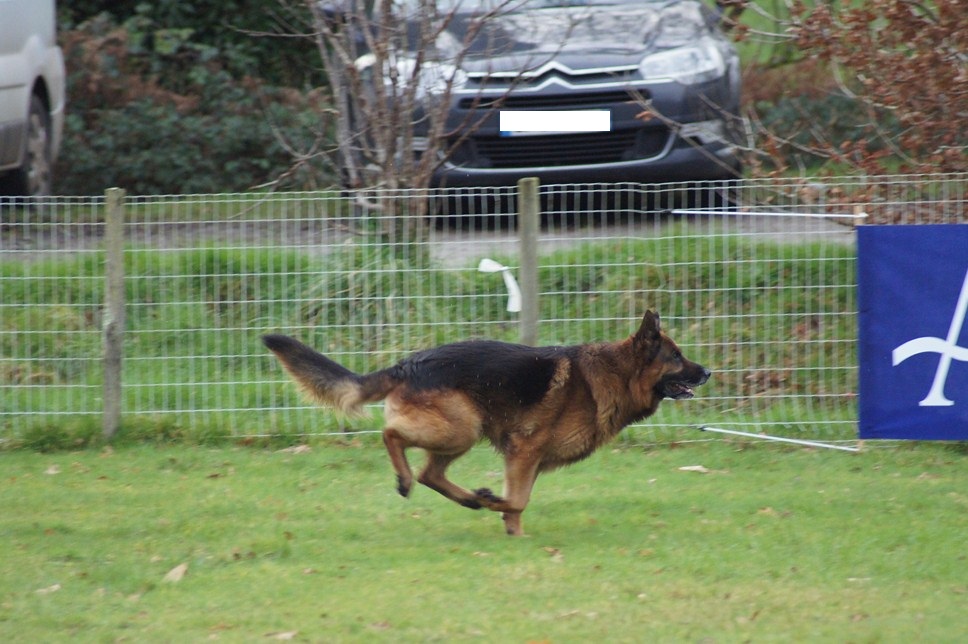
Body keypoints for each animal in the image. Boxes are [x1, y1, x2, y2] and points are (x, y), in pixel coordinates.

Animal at [260, 310, 708, 536]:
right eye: (676, 356)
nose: (707, 372)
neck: (615, 373)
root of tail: (407, 365)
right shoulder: (523, 451)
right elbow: (518, 500)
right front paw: (498, 506)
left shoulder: (527, 460)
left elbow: (518, 502)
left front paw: (511, 530)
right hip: (462, 427)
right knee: (392, 437)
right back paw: (411, 481)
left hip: (459, 434)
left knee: (429, 473)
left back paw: (468, 499)